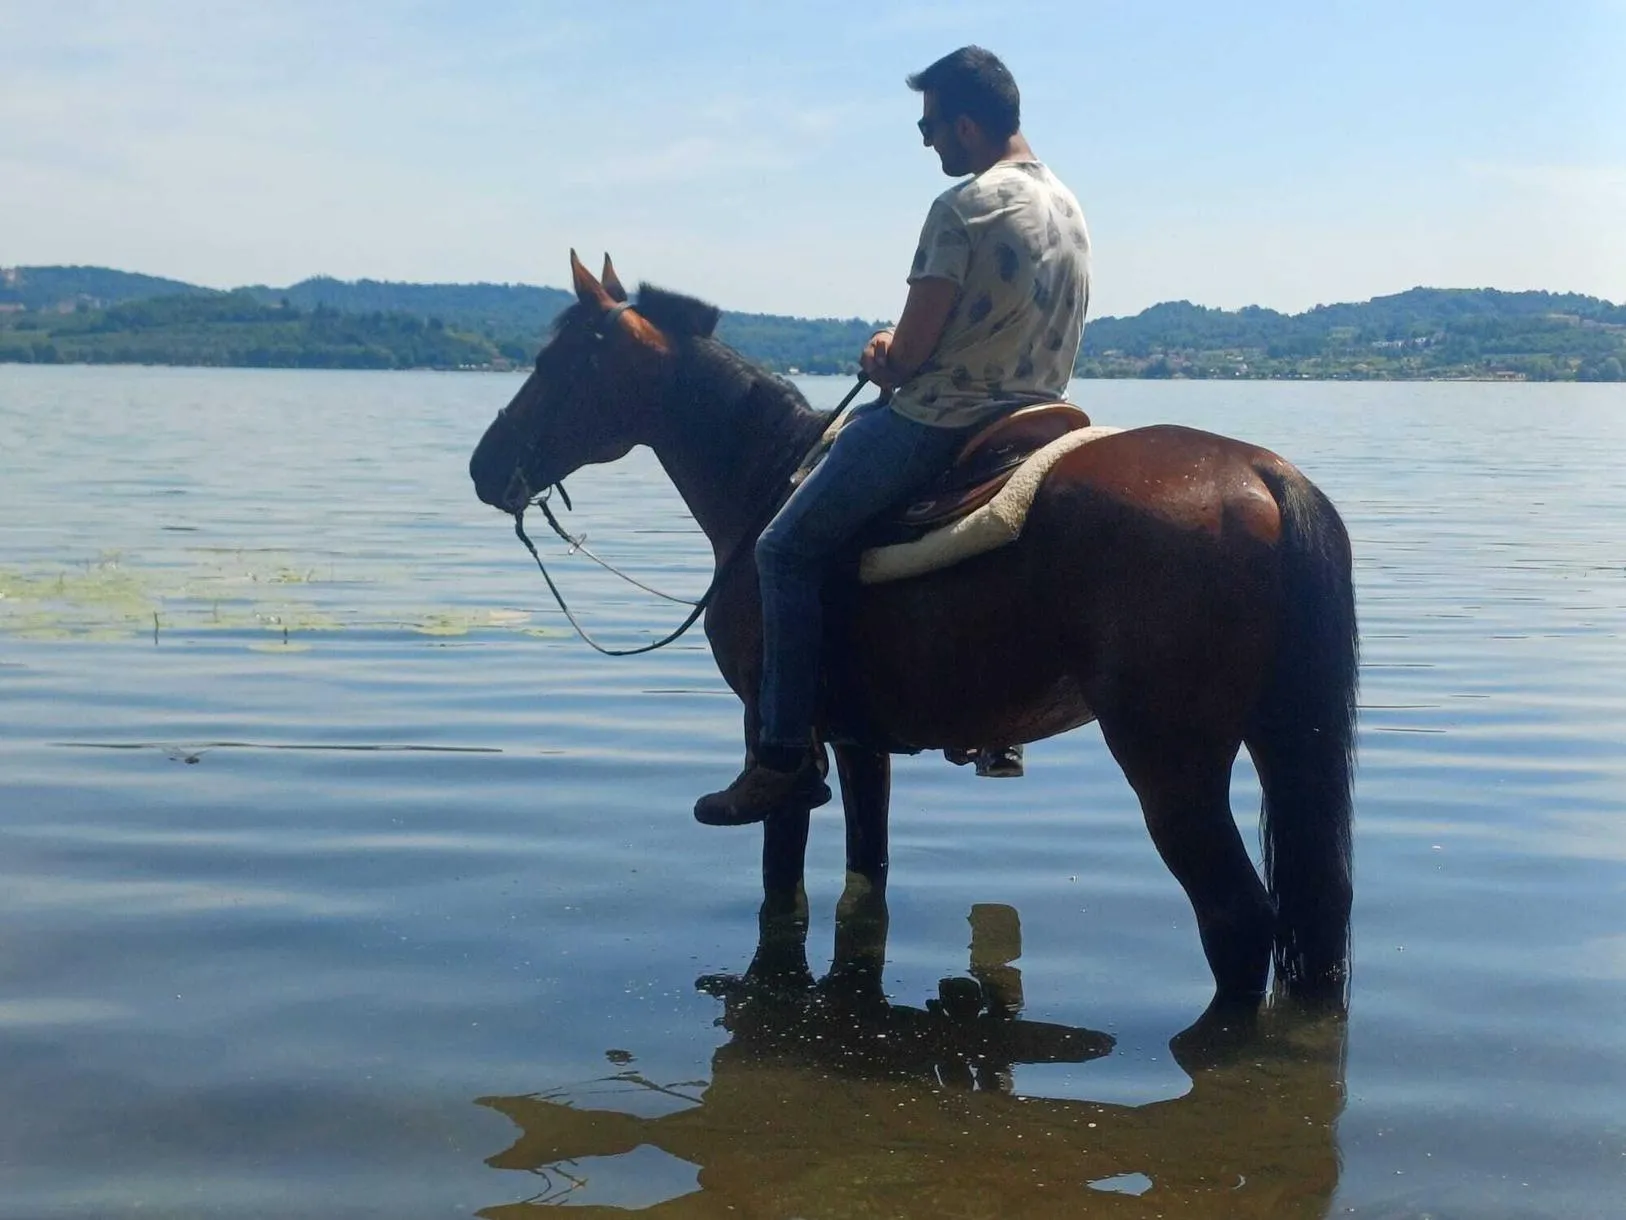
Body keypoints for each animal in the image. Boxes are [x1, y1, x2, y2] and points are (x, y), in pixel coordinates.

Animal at [469, 252, 1357, 1007]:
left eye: (555, 366)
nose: (484, 466)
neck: (766, 482)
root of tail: (1264, 475)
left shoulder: (777, 729)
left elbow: (781, 879)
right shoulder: (861, 741)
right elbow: (867, 881)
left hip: (1171, 764)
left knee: (1238, 920)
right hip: (1280, 738)